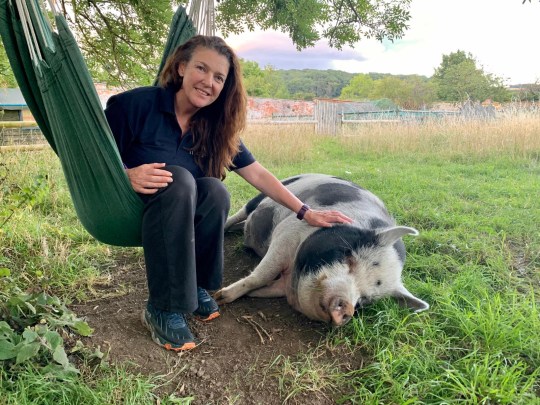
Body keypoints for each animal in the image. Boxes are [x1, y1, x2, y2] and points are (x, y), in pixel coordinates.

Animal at [215, 173, 430, 326]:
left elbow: (268, 286)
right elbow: (262, 275)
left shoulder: (284, 283)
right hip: (264, 195)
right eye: (348, 257)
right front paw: (220, 296)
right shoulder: (287, 233)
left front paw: (250, 295)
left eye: (364, 299)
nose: (346, 309)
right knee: (239, 214)